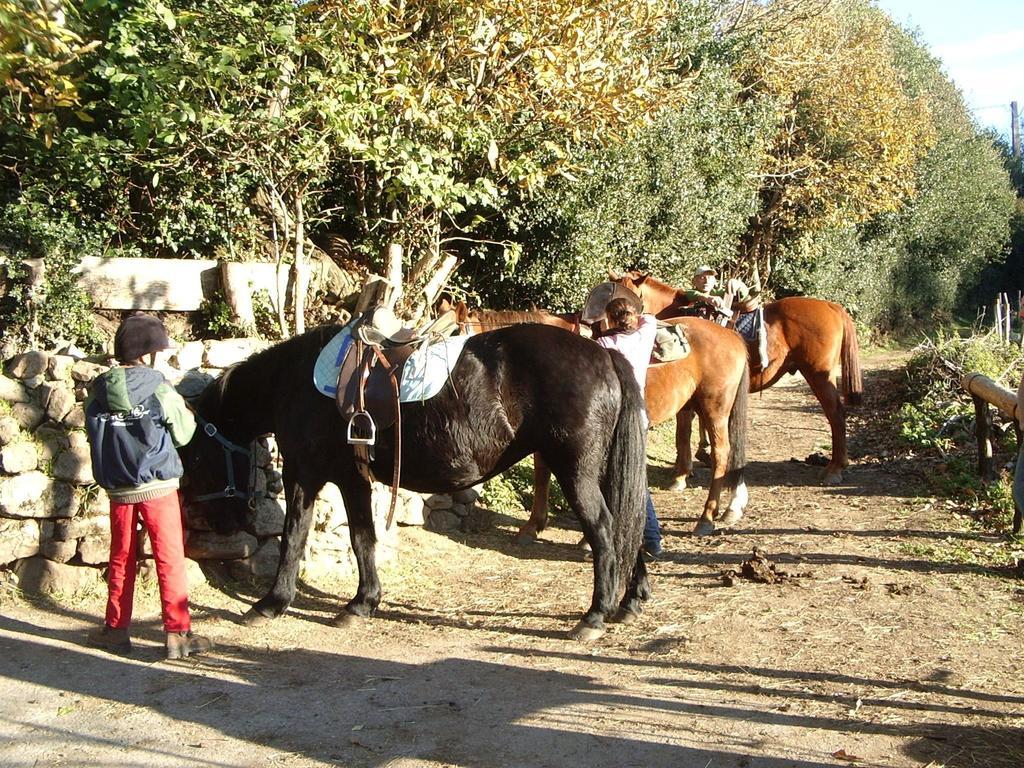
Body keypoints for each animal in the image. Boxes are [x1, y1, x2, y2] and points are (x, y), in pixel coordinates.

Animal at [182, 325, 647, 643]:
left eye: (197, 458)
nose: (218, 524)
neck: (292, 383)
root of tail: (603, 356)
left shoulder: (308, 475)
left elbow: (297, 537)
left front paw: (271, 603)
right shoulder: (352, 479)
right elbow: (362, 539)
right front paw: (362, 603)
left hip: (577, 472)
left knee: (605, 532)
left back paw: (593, 617)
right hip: (603, 471)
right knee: (630, 526)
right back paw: (629, 601)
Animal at [456, 303, 753, 536]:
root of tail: (731, 335)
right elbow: (541, 473)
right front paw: (533, 525)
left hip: (715, 409)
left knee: (721, 455)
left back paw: (707, 517)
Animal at [610, 270, 860, 483]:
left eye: (633, 298)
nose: (619, 323)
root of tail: (832, 306)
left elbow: (685, 427)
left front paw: (685, 468)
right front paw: (698, 456)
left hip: (818, 375)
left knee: (835, 414)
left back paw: (835, 468)